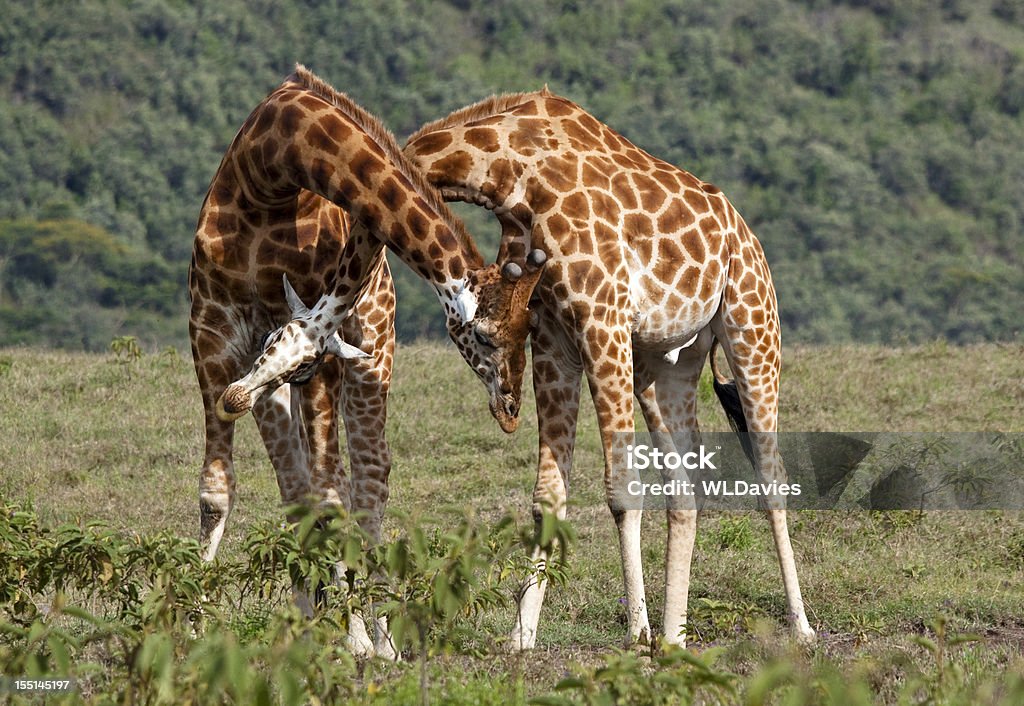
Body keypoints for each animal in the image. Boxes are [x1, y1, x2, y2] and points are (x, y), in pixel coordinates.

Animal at [405, 88, 815, 651]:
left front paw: (636, 632)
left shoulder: (602, 322)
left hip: (752, 327)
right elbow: (548, 496)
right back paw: (674, 636)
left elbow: (622, 490)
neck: (511, 175)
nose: (507, 412)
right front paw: (521, 636)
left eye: (484, 335)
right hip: (667, 367)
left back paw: (800, 627)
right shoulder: (554, 342)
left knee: (771, 476)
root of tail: (748, 237)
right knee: (684, 490)